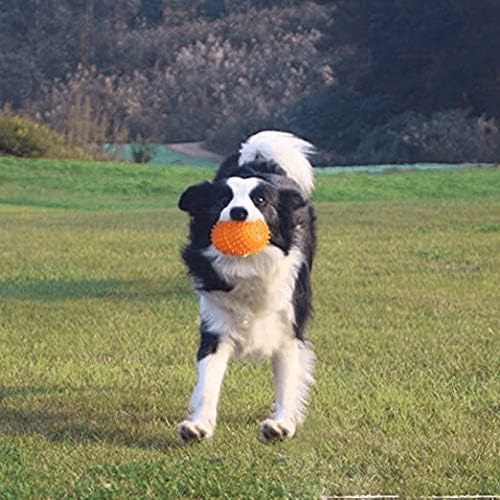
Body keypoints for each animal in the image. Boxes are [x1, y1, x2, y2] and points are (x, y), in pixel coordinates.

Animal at [178, 130, 314, 442]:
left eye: (261, 200)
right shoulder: (215, 328)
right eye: (222, 200)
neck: (248, 265)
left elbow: (288, 378)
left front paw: (282, 423)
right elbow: (208, 381)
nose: (238, 212)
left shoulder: (289, 327)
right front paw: (199, 425)